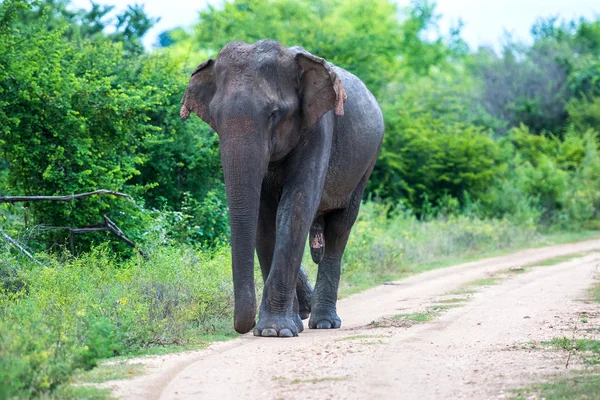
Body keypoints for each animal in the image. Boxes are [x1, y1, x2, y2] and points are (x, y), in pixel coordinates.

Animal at [180, 39, 382, 338]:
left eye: (274, 114)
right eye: (215, 116)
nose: (243, 327)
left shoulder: (319, 126)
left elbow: (297, 205)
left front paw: (274, 331)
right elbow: (264, 219)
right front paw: (282, 326)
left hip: (368, 161)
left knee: (340, 226)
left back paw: (324, 323)